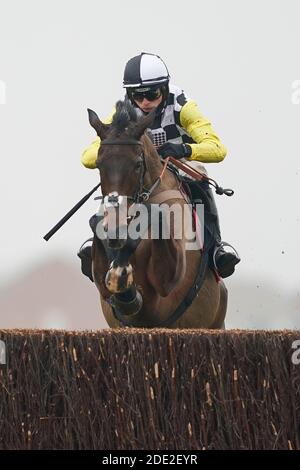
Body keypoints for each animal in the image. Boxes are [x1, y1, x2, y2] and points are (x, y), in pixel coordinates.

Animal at [86, 100, 227, 326]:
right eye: (99, 165)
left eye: (137, 164)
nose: (116, 230)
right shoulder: (104, 285)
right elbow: (96, 226)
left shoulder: (167, 283)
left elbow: (156, 215)